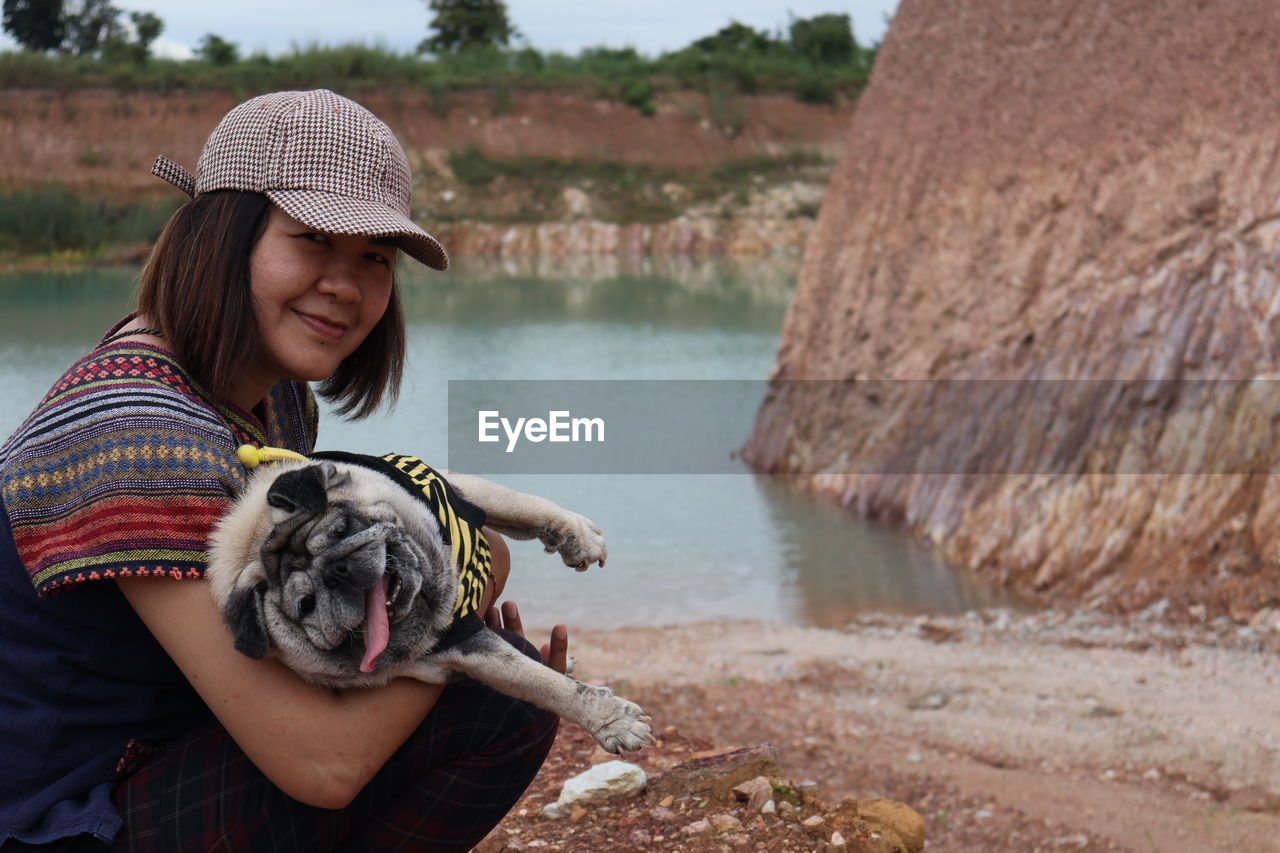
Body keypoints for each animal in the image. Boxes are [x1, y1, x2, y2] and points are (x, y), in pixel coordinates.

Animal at [208, 450, 655, 753]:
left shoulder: (454, 487)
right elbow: (544, 684)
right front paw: (614, 722)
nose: (335, 572)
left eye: (342, 529)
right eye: (305, 605)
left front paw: (575, 536)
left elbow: (518, 504)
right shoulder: (463, 645)